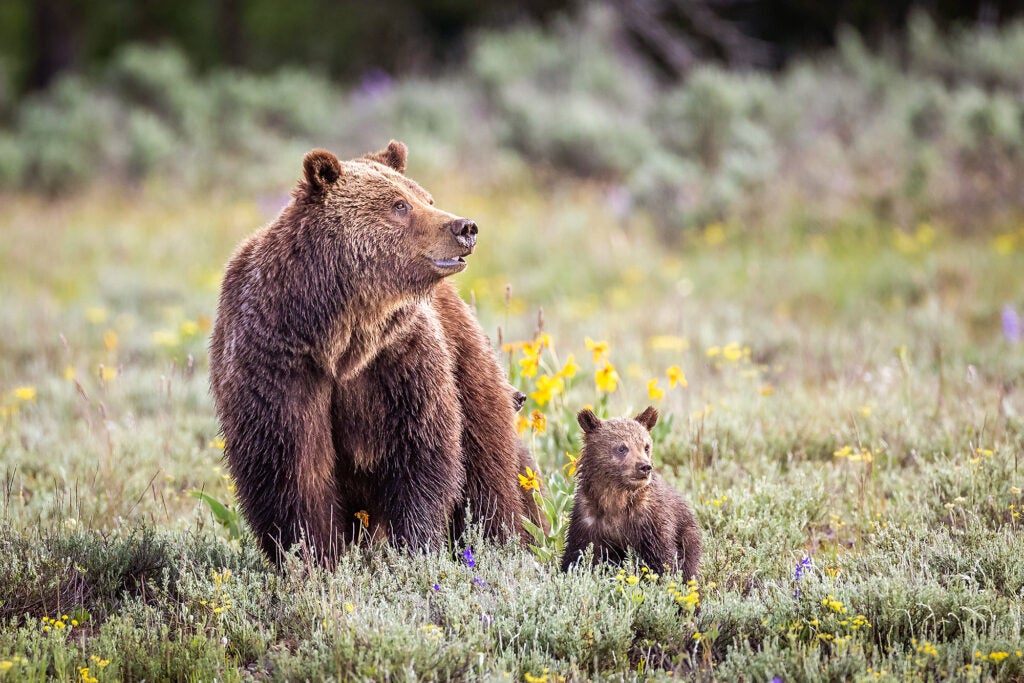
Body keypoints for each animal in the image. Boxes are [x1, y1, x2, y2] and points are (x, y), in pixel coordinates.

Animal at [210, 141, 540, 565]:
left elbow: (420, 452)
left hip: (469, 365)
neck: (337, 338)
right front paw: (311, 556)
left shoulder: (399, 358)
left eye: (426, 198)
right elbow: (291, 468)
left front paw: (414, 546)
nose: (465, 227)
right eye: (400, 205)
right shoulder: (277, 361)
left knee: (489, 469)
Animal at [561, 409, 704, 581]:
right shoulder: (587, 519)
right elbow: (576, 555)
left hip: (688, 533)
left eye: (646, 446)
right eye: (622, 447)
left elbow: (661, 558)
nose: (644, 466)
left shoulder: (650, 521)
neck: (616, 501)